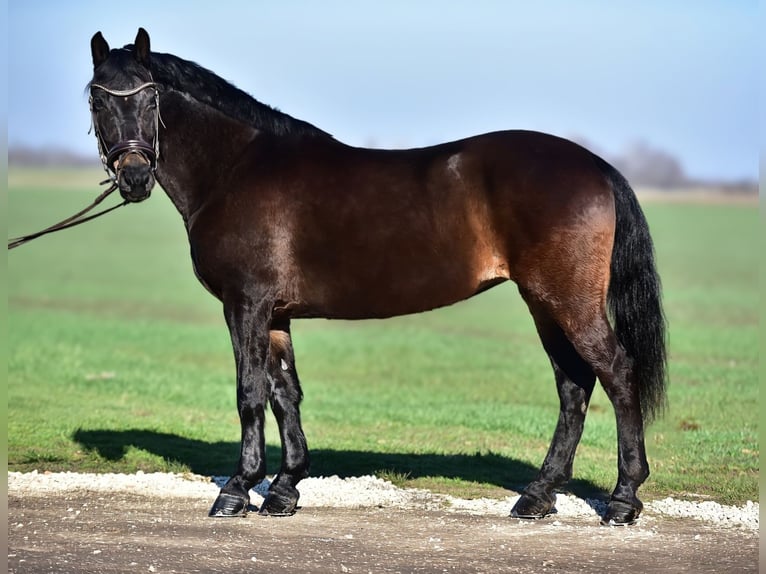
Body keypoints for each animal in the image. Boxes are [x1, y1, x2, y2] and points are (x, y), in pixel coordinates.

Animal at [88, 28, 666, 525]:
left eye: (150, 98)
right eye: (97, 100)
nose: (134, 177)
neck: (236, 168)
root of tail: (595, 166)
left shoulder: (244, 304)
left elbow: (249, 391)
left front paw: (237, 489)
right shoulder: (275, 315)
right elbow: (285, 392)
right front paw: (284, 489)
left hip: (567, 300)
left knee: (616, 373)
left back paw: (622, 499)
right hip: (544, 302)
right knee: (574, 384)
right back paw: (539, 495)